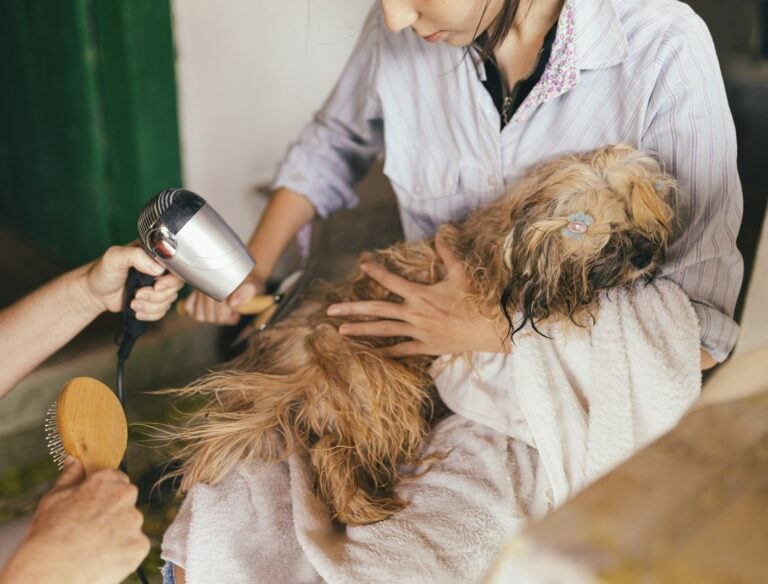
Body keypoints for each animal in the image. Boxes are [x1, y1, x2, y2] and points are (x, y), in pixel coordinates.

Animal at [165, 145, 676, 524]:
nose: (645, 255)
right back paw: (363, 506)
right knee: (332, 451)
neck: (508, 240)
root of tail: (303, 367)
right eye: (601, 226)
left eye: (637, 213)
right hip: (387, 386)